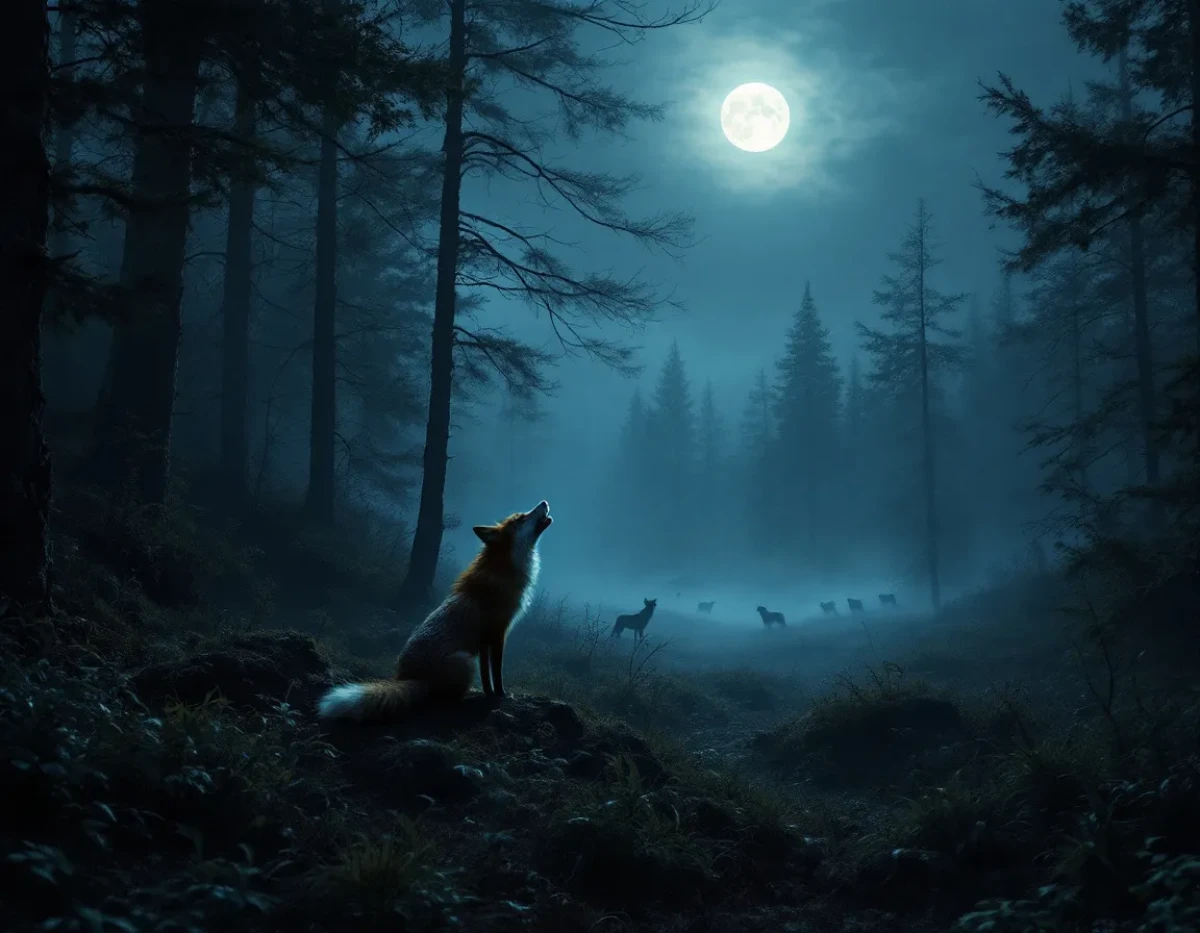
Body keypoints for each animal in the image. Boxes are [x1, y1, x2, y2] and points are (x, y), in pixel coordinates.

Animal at [317, 500, 553, 725]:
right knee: (443, 698)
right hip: (465, 661)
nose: (544, 502)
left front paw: (489, 693)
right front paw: (501, 695)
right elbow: (496, 673)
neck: (505, 570)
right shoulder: (497, 633)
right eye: (521, 519)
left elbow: (487, 676)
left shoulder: (485, 640)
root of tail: (409, 676)